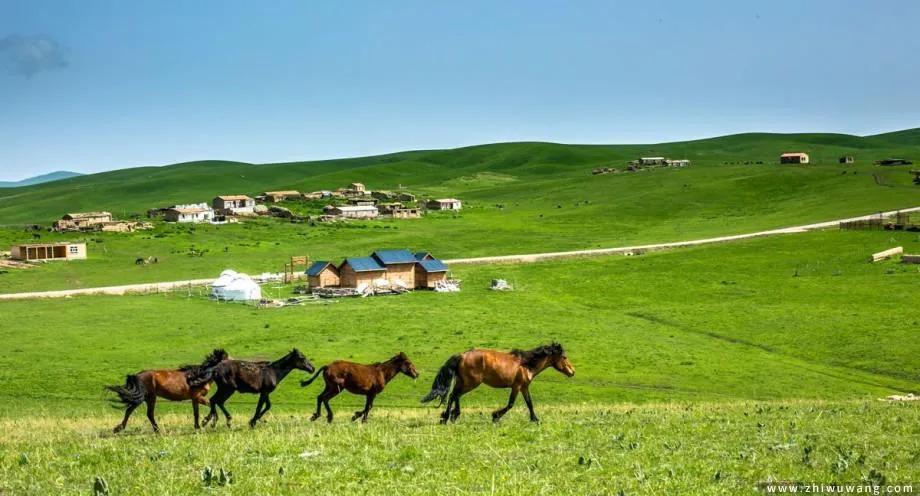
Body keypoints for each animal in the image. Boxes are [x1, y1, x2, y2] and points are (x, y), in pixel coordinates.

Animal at [418, 342, 576, 424]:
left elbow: (529, 403)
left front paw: (535, 419)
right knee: (454, 395)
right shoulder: (517, 386)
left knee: (453, 396)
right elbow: (511, 404)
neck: (526, 364)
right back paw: (449, 416)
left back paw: (448, 416)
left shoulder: (524, 387)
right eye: (564, 357)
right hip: (471, 383)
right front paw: (495, 416)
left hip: (464, 382)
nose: (572, 372)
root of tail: (462, 355)